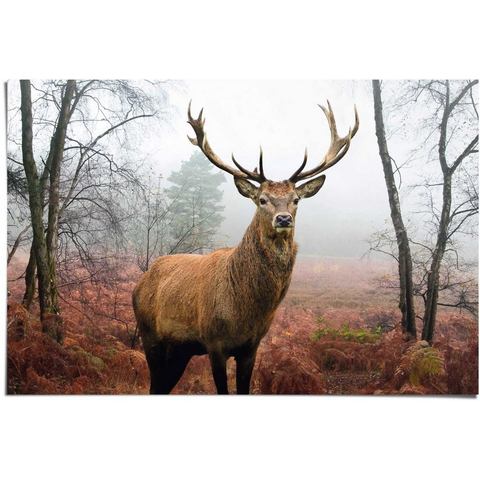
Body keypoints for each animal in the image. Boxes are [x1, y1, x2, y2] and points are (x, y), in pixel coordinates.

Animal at [133, 101, 358, 394]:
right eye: (262, 199)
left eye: (296, 199)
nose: (283, 219)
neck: (245, 310)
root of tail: (140, 283)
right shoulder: (214, 343)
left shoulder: (251, 346)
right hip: (150, 335)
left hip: (180, 350)